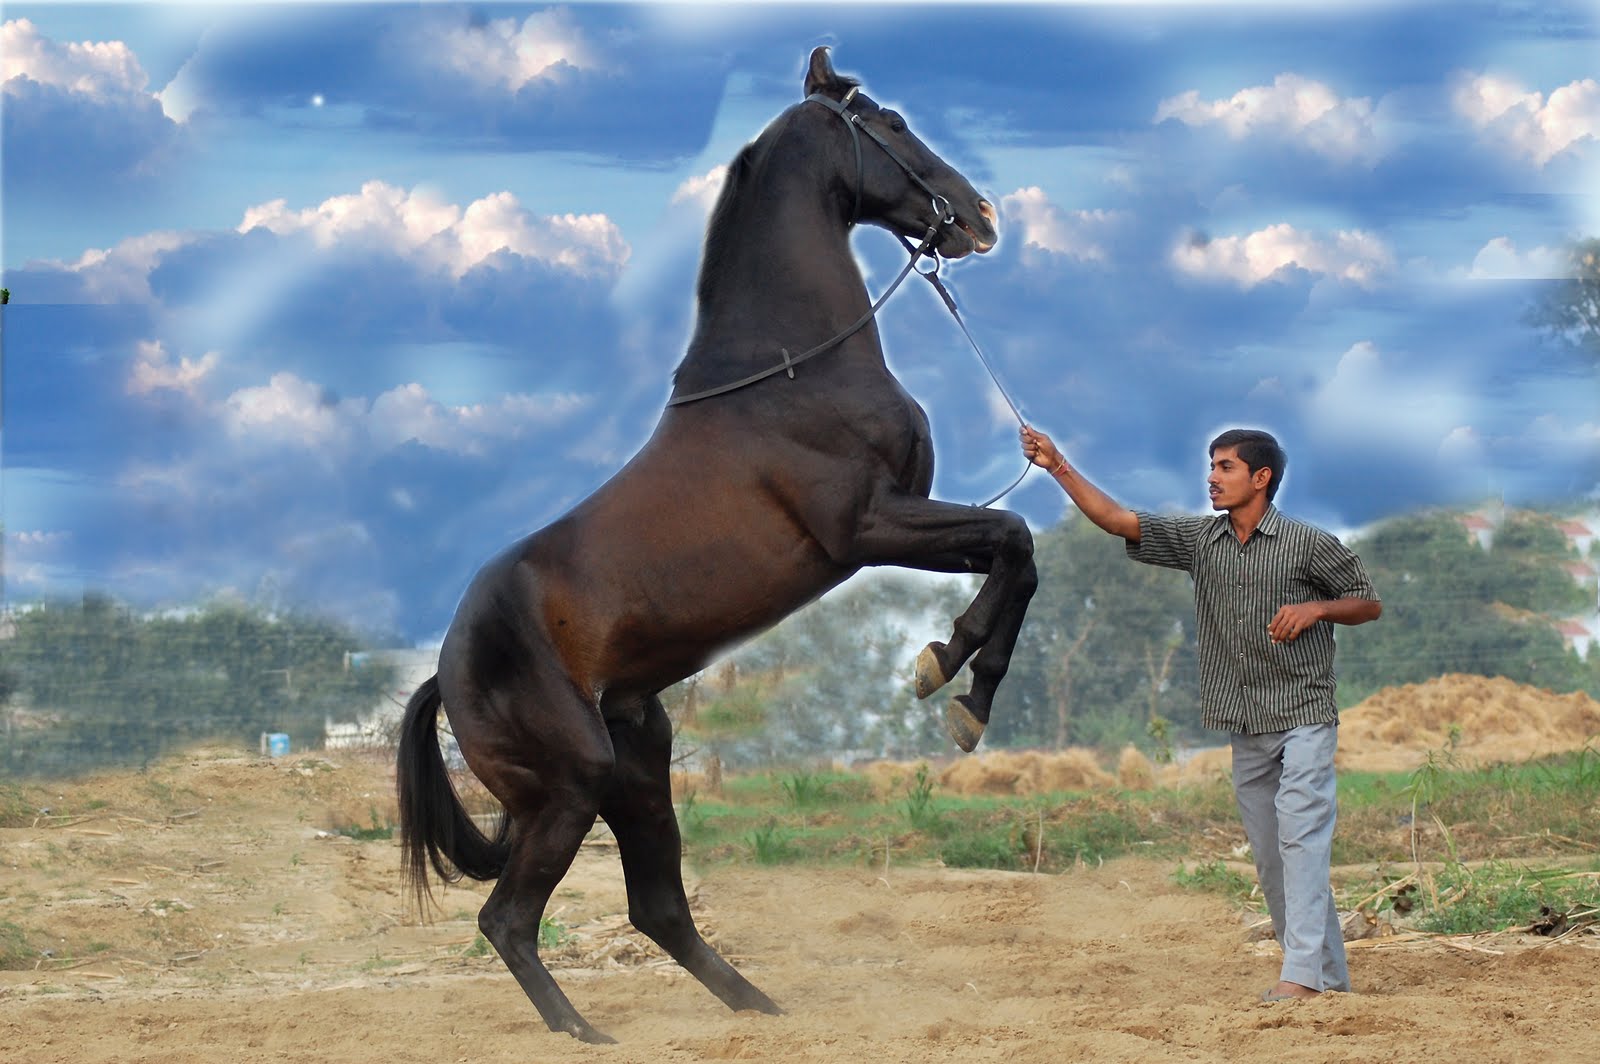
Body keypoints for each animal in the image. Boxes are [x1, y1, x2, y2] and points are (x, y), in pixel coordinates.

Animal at [397, 47, 1037, 1043]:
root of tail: (444, 668)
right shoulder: (868, 526)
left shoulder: (896, 523)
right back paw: (586, 1033)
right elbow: (1014, 538)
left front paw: (959, 685)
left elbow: (1020, 554)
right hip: (573, 783)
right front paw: (951, 675)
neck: (790, 368)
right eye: (891, 121)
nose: (980, 216)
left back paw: (763, 1009)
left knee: (658, 908)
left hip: (639, 764)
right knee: (508, 919)